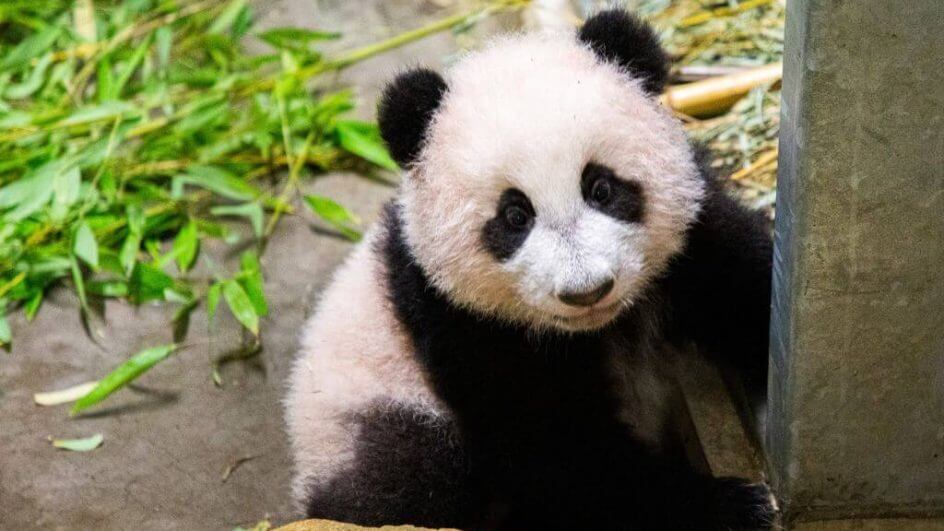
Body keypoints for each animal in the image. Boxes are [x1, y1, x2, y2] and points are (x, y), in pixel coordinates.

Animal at [285, 9, 776, 530]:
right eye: (515, 215)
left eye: (601, 188)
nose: (587, 291)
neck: (600, 328)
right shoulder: (460, 319)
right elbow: (559, 453)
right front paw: (733, 505)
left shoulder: (689, 239)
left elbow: (744, 289)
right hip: (377, 417)